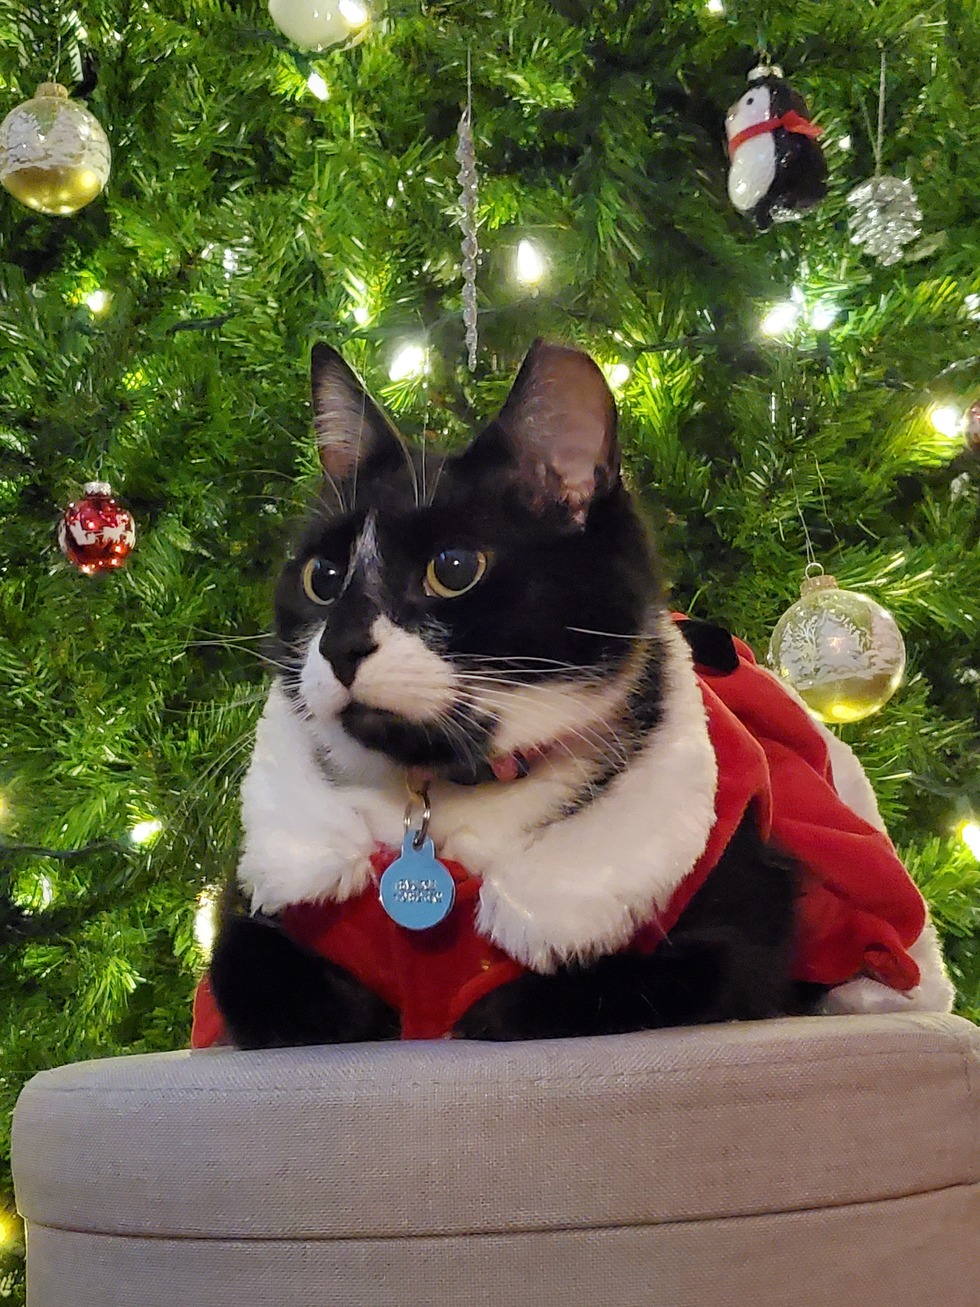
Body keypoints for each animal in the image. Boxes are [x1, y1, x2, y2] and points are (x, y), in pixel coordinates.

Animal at [203, 340, 952, 1049]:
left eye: (454, 568)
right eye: (322, 577)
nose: (339, 644)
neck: (448, 799)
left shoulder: (742, 913)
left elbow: (628, 978)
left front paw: (475, 1011)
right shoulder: (261, 906)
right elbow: (246, 965)